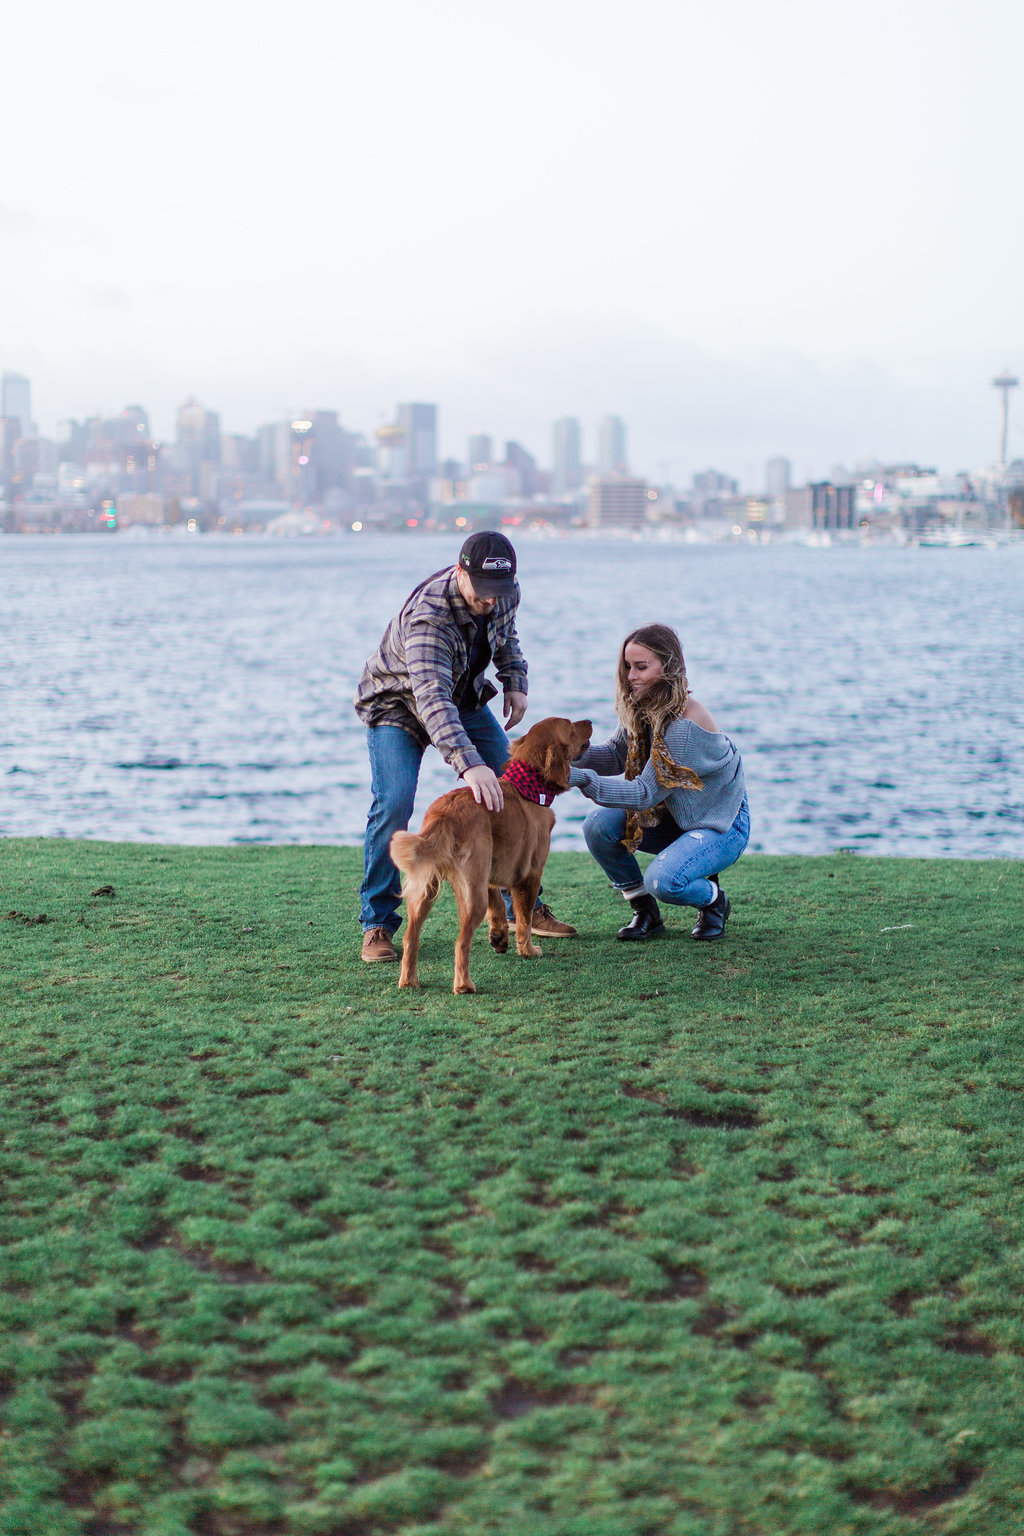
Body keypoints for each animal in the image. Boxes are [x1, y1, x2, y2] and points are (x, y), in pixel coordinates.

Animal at [388, 718, 592, 995]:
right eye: (571, 727)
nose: (590, 721)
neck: (528, 787)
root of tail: (443, 814)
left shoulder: (491, 872)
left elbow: (498, 907)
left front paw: (499, 937)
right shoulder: (530, 875)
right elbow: (525, 919)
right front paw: (527, 950)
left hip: (426, 888)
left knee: (411, 938)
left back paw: (409, 981)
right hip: (472, 894)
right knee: (461, 942)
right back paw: (464, 985)